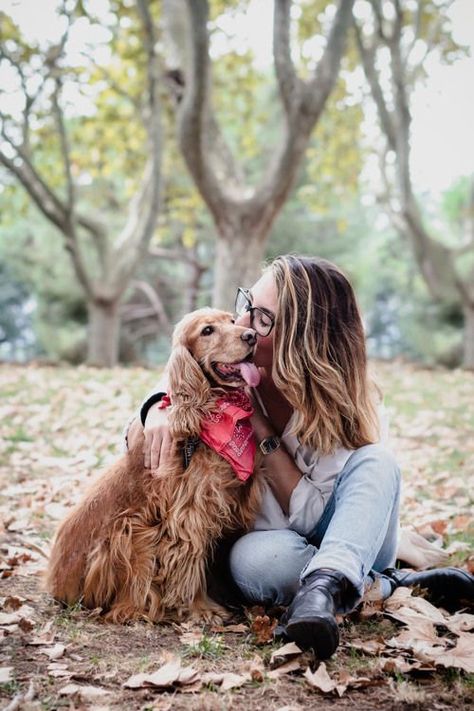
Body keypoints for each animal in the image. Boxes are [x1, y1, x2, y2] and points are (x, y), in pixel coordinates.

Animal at [45, 310, 262, 624]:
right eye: (207, 331)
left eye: (233, 321)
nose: (251, 335)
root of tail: (54, 583)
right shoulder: (188, 515)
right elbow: (190, 562)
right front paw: (201, 608)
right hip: (130, 533)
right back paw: (141, 610)